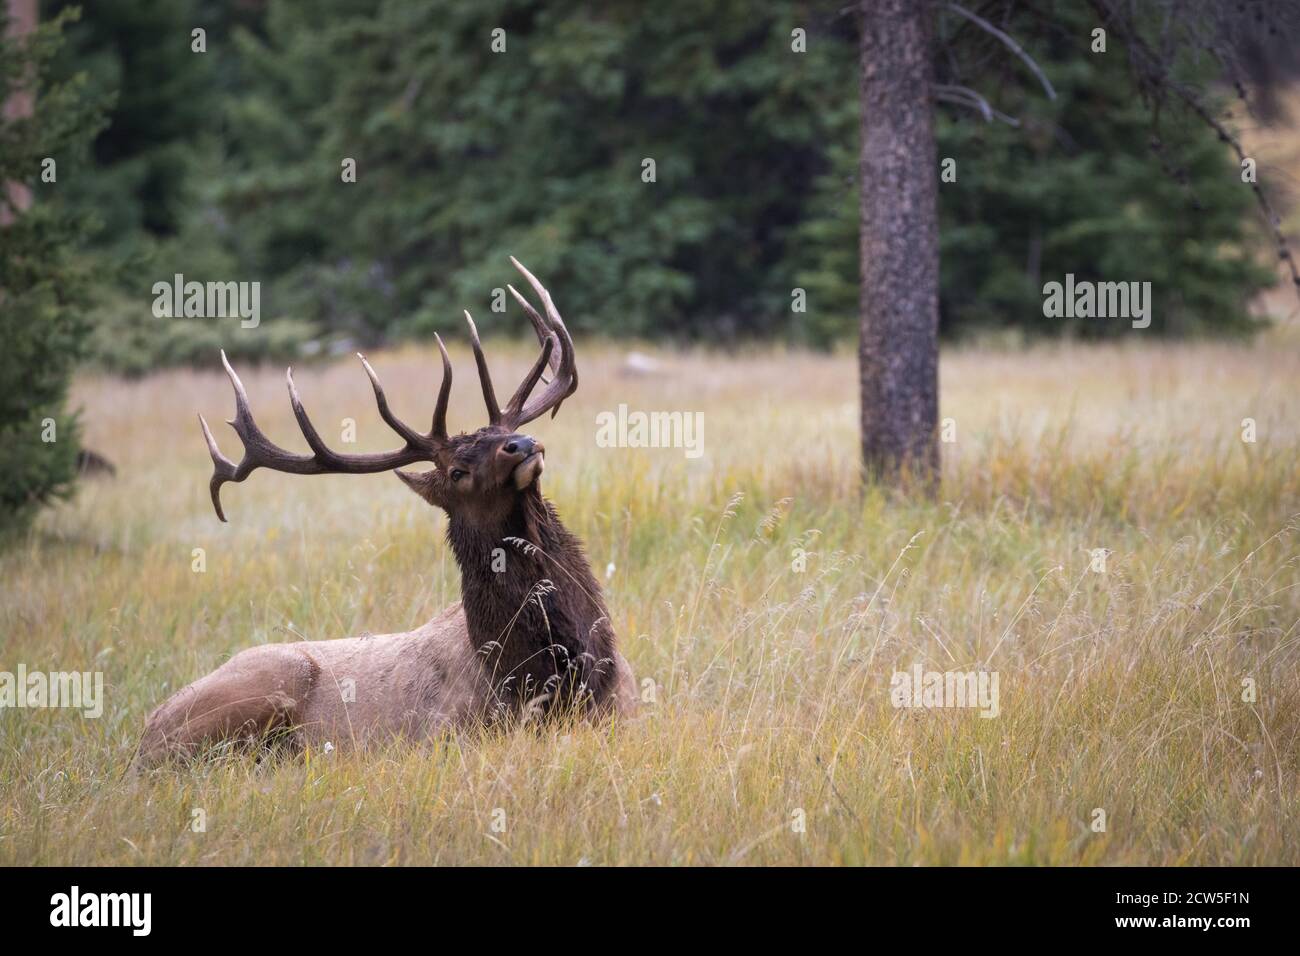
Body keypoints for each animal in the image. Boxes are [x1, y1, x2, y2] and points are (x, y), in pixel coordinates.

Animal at [135, 257, 634, 764]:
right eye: (457, 470)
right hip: (263, 687)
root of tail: (143, 735)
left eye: (501, 432)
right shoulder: (447, 732)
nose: (523, 444)